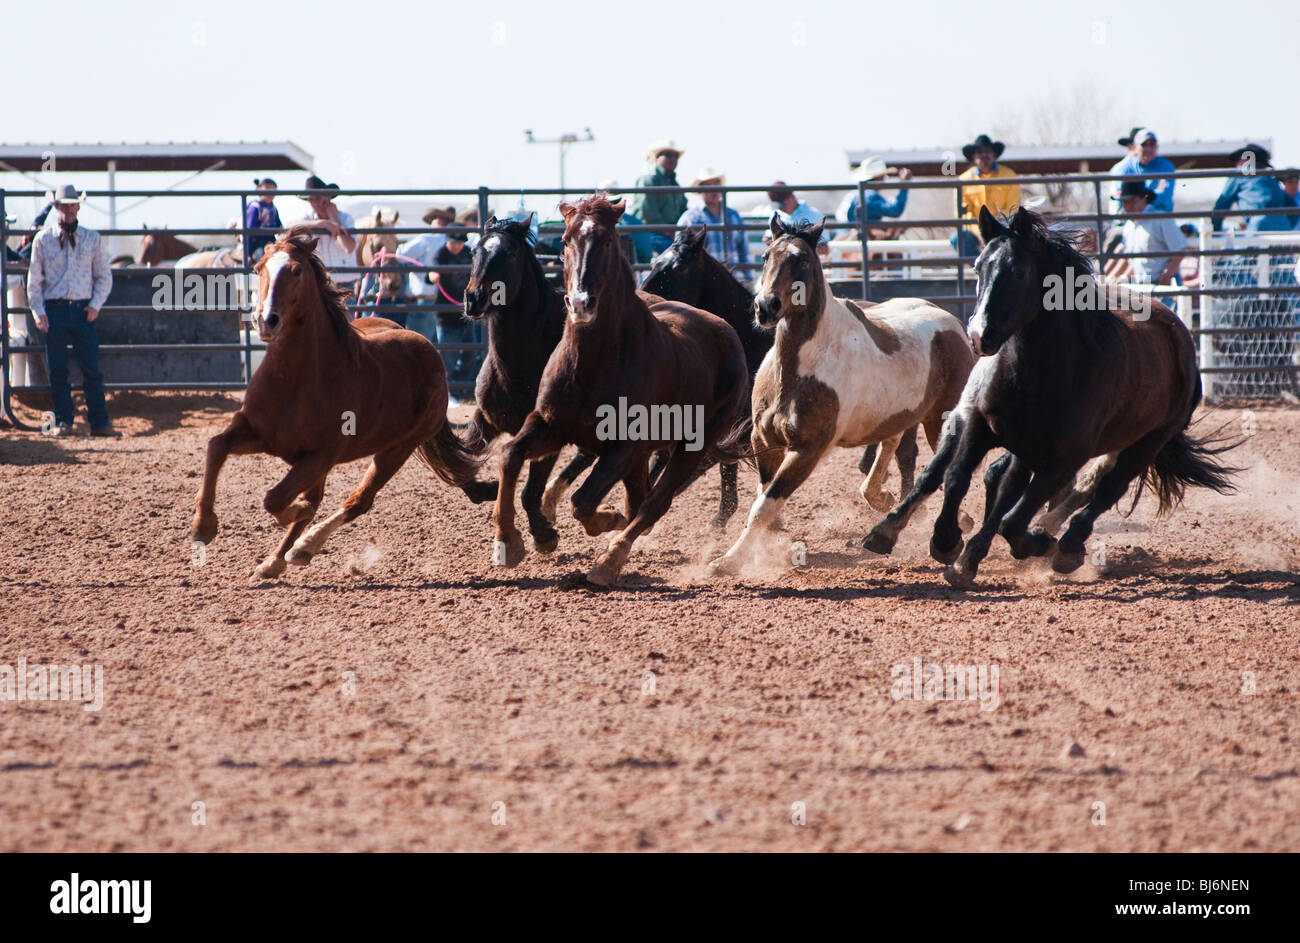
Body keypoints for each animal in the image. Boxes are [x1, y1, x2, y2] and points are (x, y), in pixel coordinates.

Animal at [189, 227, 480, 580]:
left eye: (296, 270)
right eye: (258, 268)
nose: (266, 321)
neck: (295, 379)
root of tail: (428, 349)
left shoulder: (320, 456)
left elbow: (277, 499)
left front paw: (297, 513)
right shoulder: (256, 432)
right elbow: (216, 447)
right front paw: (203, 527)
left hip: (397, 449)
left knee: (357, 501)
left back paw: (302, 548)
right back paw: (274, 561)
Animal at [488, 195, 754, 585]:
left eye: (607, 242)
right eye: (565, 240)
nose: (581, 303)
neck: (594, 362)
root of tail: (726, 330)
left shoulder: (628, 445)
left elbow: (584, 501)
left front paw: (607, 521)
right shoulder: (551, 425)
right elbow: (510, 456)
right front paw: (507, 541)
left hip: (694, 445)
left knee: (654, 503)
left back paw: (610, 560)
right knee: (640, 500)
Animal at [707, 217, 972, 577]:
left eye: (803, 261)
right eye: (765, 256)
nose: (765, 307)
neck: (796, 369)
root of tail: (953, 324)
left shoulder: (808, 449)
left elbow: (765, 504)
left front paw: (728, 561)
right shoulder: (764, 441)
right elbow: (764, 502)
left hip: (939, 420)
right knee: (891, 442)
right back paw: (881, 498)